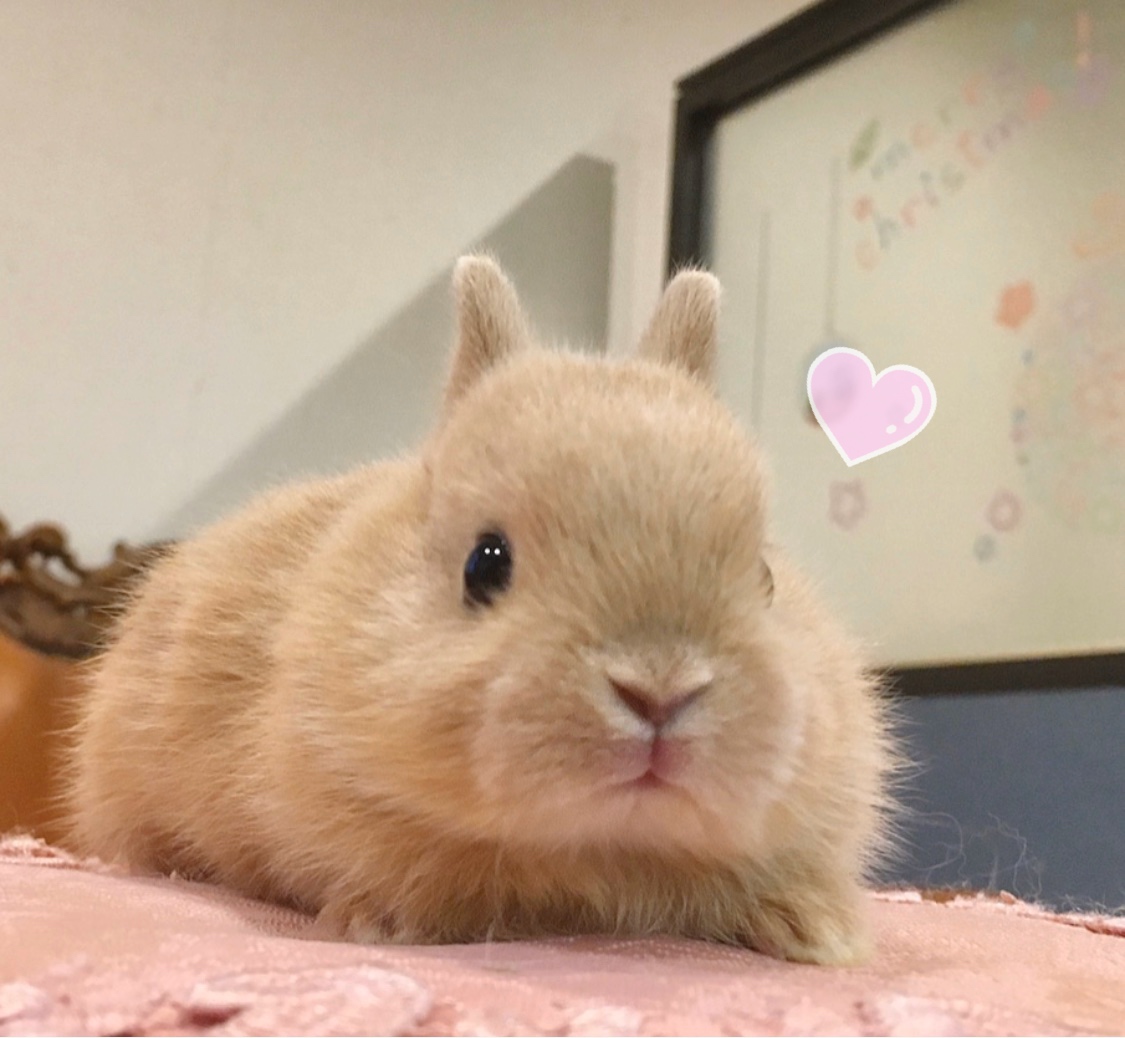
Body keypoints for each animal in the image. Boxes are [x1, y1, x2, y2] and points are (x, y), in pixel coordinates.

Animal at [65, 255, 899, 966]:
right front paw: (382, 923)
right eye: (484, 563)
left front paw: (816, 935)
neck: (608, 849)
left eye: (763, 575)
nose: (659, 692)